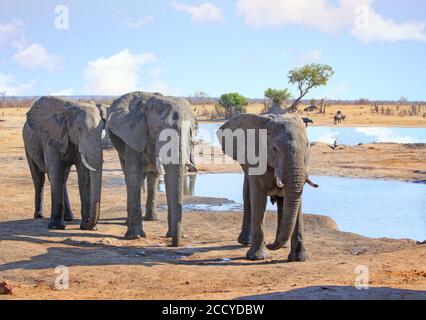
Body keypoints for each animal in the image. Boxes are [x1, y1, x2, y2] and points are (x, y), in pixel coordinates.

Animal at [23, 95, 104, 230]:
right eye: (79, 128)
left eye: (102, 130)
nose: (87, 224)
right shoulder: (51, 138)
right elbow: (55, 172)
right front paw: (55, 227)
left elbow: (84, 176)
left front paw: (87, 226)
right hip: (27, 145)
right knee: (40, 179)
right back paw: (39, 215)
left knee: (63, 179)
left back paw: (68, 218)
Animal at [108, 91, 198, 246]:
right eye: (158, 130)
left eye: (190, 133)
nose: (175, 244)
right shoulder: (134, 135)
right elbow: (134, 176)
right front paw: (135, 237)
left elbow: (169, 179)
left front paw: (172, 235)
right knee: (129, 178)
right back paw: (128, 223)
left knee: (153, 178)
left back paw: (152, 218)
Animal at [218, 114, 318, 262]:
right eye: (275, 149)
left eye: (307, 146)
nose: (270, 244)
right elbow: (259, 199)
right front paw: (258, 257)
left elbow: (297, 202)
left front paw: (299, 259)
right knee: (248, 195)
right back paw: (247, 242)